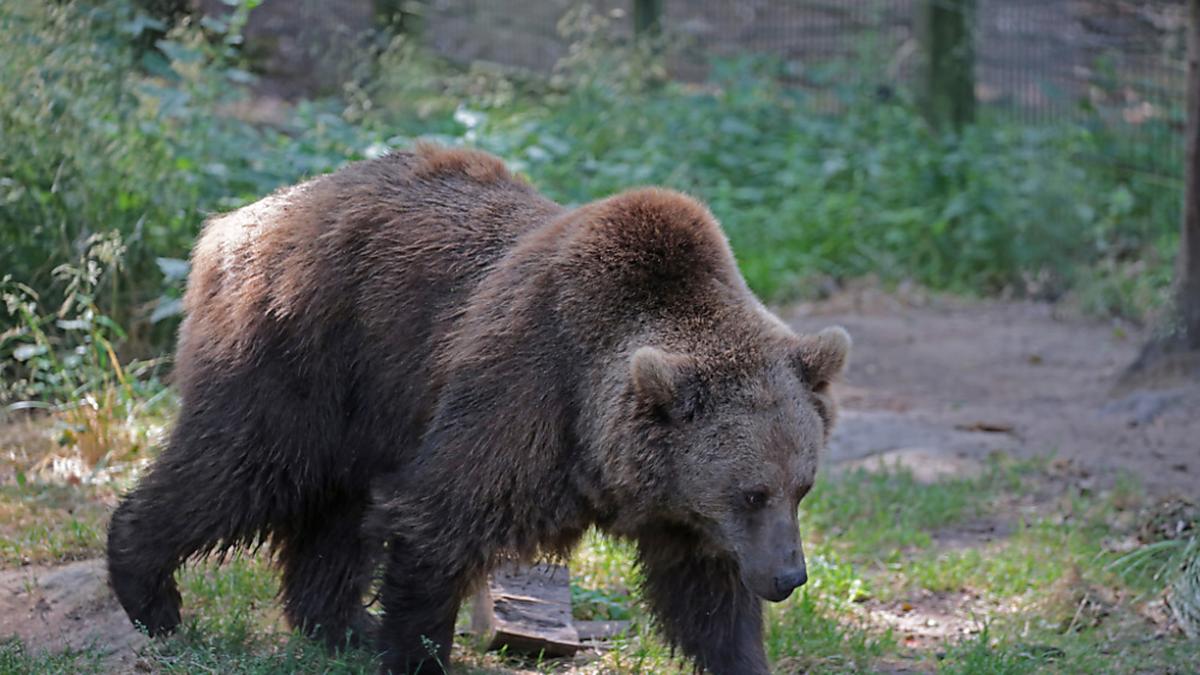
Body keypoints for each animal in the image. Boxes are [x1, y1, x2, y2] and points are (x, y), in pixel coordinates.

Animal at [108, 140, 849, 667]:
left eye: (802, 486)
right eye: (752, 491)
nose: (789, 575)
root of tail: (234, 221)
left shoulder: (681, 504)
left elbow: (708, 595)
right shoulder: (525, 395)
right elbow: (439, 520)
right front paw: (416, 652)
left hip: (368, 405)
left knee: (335, 509)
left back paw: (343, 625)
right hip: (305, 350)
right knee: (242, 464)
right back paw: (151, 594)